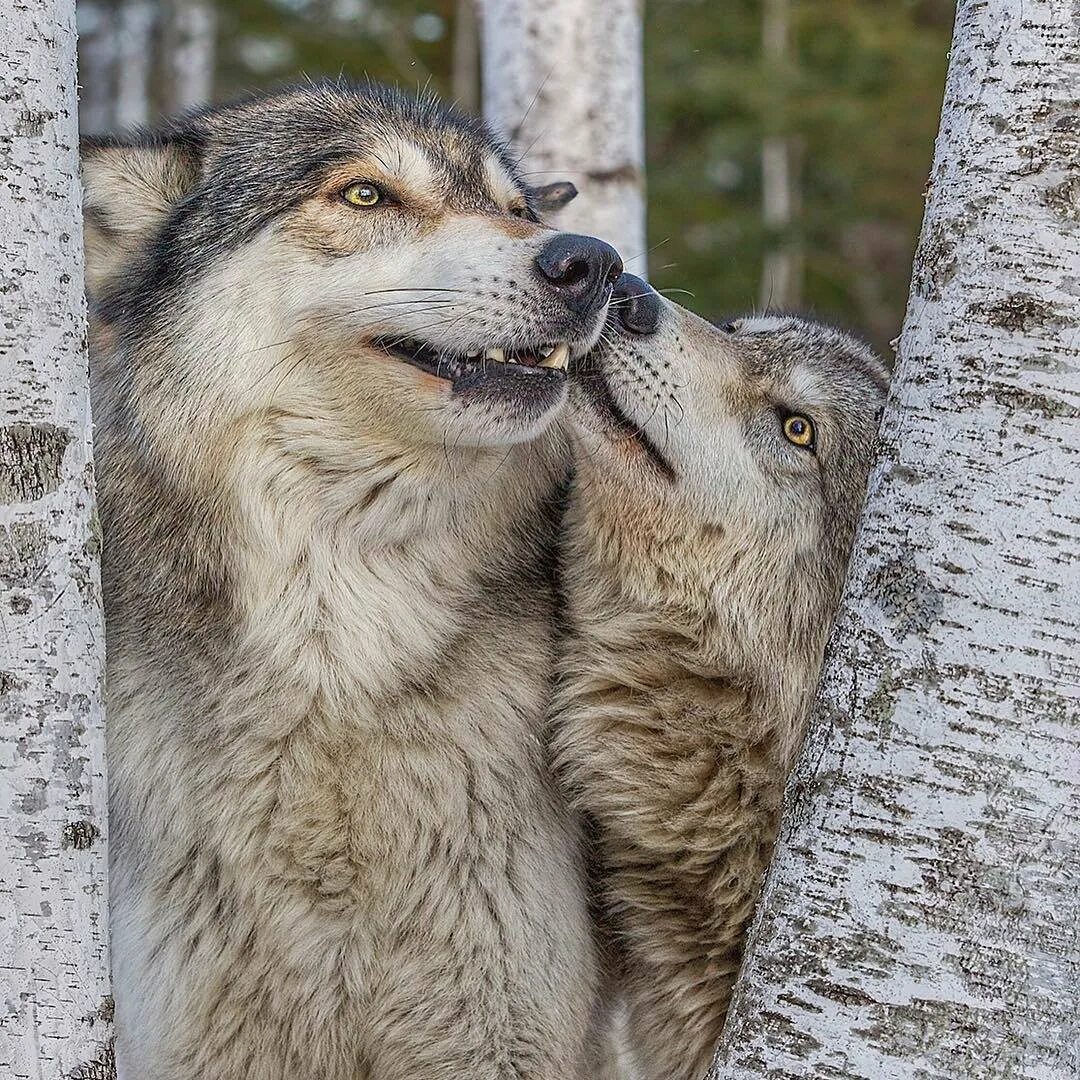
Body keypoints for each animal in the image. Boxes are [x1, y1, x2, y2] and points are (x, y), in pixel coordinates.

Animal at [82, 84, 626, 1080]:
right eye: (366, 194)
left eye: (517, 209)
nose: (593, 262)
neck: (336, 649)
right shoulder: (206, 1037)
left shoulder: (498, 1028)